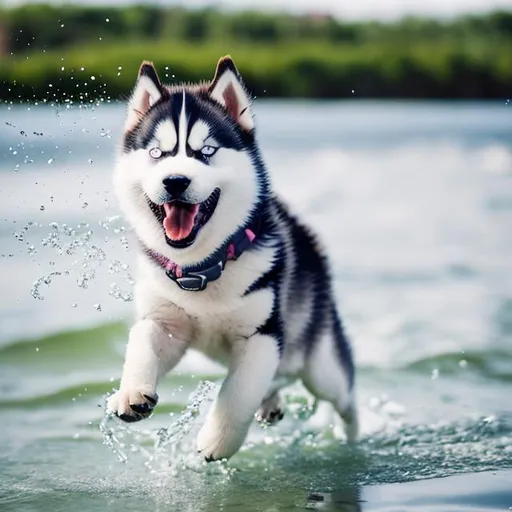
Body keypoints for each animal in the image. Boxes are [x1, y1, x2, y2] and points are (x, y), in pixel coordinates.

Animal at [108, 56, 356, 460]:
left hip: (321, 366)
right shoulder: (165, 320)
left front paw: (216, 442)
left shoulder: (262, 335)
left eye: (206, 152)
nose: (175, 181)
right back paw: (272, 403)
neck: (202, 270)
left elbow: (238, 393)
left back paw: (354, 438)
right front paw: (131, 393)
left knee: (346, 398)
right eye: (156, 153)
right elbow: (142, 342)